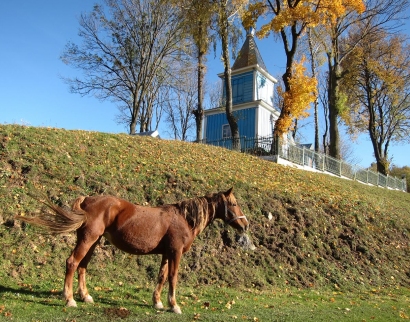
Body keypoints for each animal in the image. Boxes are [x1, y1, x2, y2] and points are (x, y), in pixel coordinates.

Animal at [16, 187, 250, 314]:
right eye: (234, 203)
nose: (245, 225)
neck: (184, 218)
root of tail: (88, 199)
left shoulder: (166, 254)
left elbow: (161, 276)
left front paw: (157, 302)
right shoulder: (175, 253)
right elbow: (173, 277)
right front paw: (174, 305)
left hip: (93, 241)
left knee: (82, 267)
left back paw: (86, 296)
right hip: (88, 240)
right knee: (72, 263)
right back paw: (69, 299)